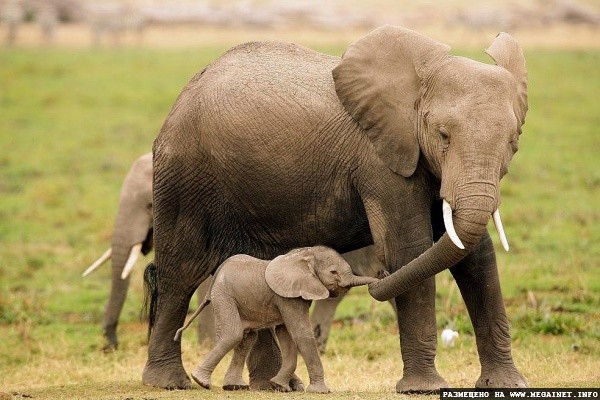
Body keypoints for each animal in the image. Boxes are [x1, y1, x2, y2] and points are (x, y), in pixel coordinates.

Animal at [173, 245, 380, 392]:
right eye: (333, 272)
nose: (381, 274)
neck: (305, 254)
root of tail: (218, 272)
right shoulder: (288, 296)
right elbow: (300, 332)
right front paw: (320, 391)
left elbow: (286, 334)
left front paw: (279, 386)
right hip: (224, 295)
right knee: (233, 334)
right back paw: (201, 381)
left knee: (247, 338)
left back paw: (234, 386)